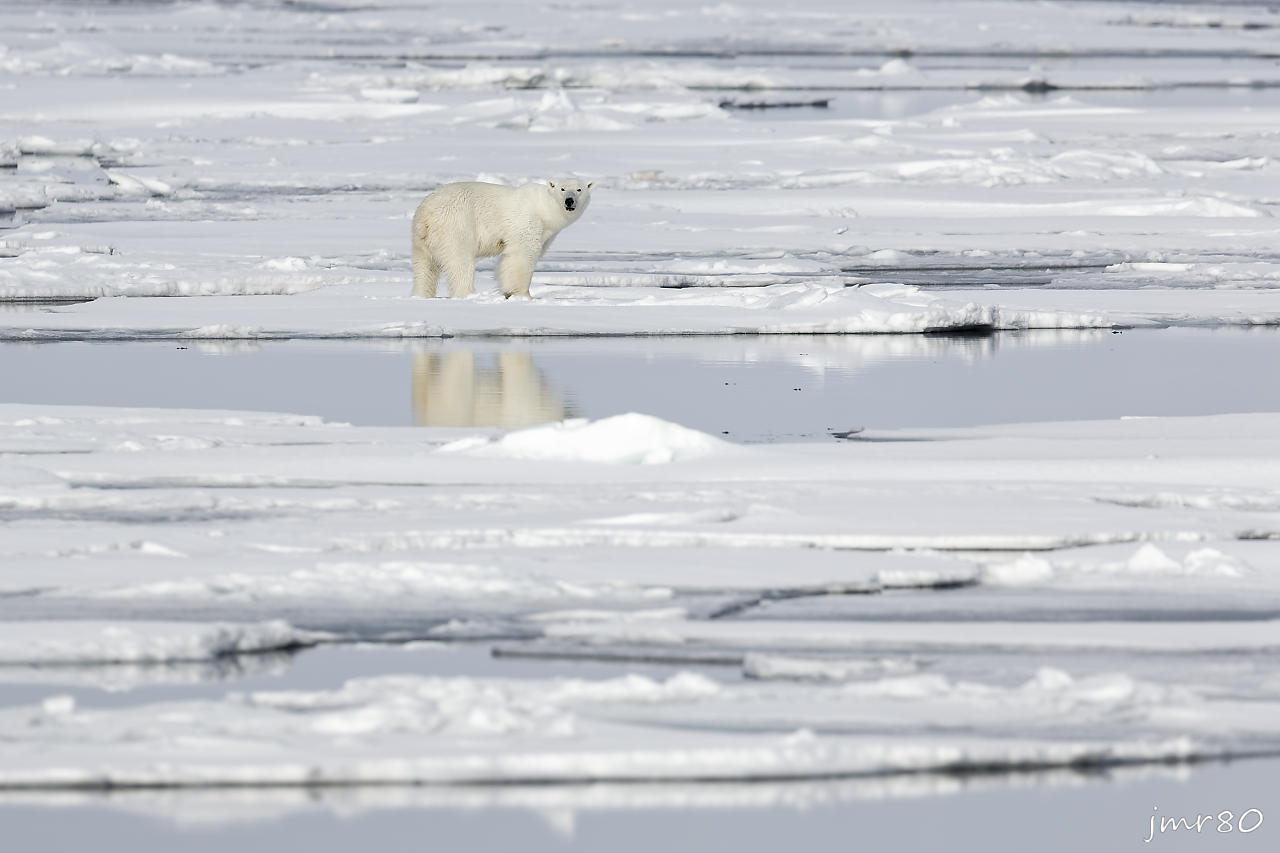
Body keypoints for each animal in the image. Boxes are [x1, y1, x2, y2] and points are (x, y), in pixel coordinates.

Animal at [410, 179, 593, 299]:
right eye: (562, 189)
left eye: (579, 189)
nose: (569, 201)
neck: (543, 209)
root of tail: (426, 214)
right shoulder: (526, 222)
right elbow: (521, 255)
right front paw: (523, 295)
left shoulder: (546, 234)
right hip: (455, 225)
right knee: (459, 262)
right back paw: (468, 294)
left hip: (422, 239)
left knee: (425, 267)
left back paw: (421, 295)